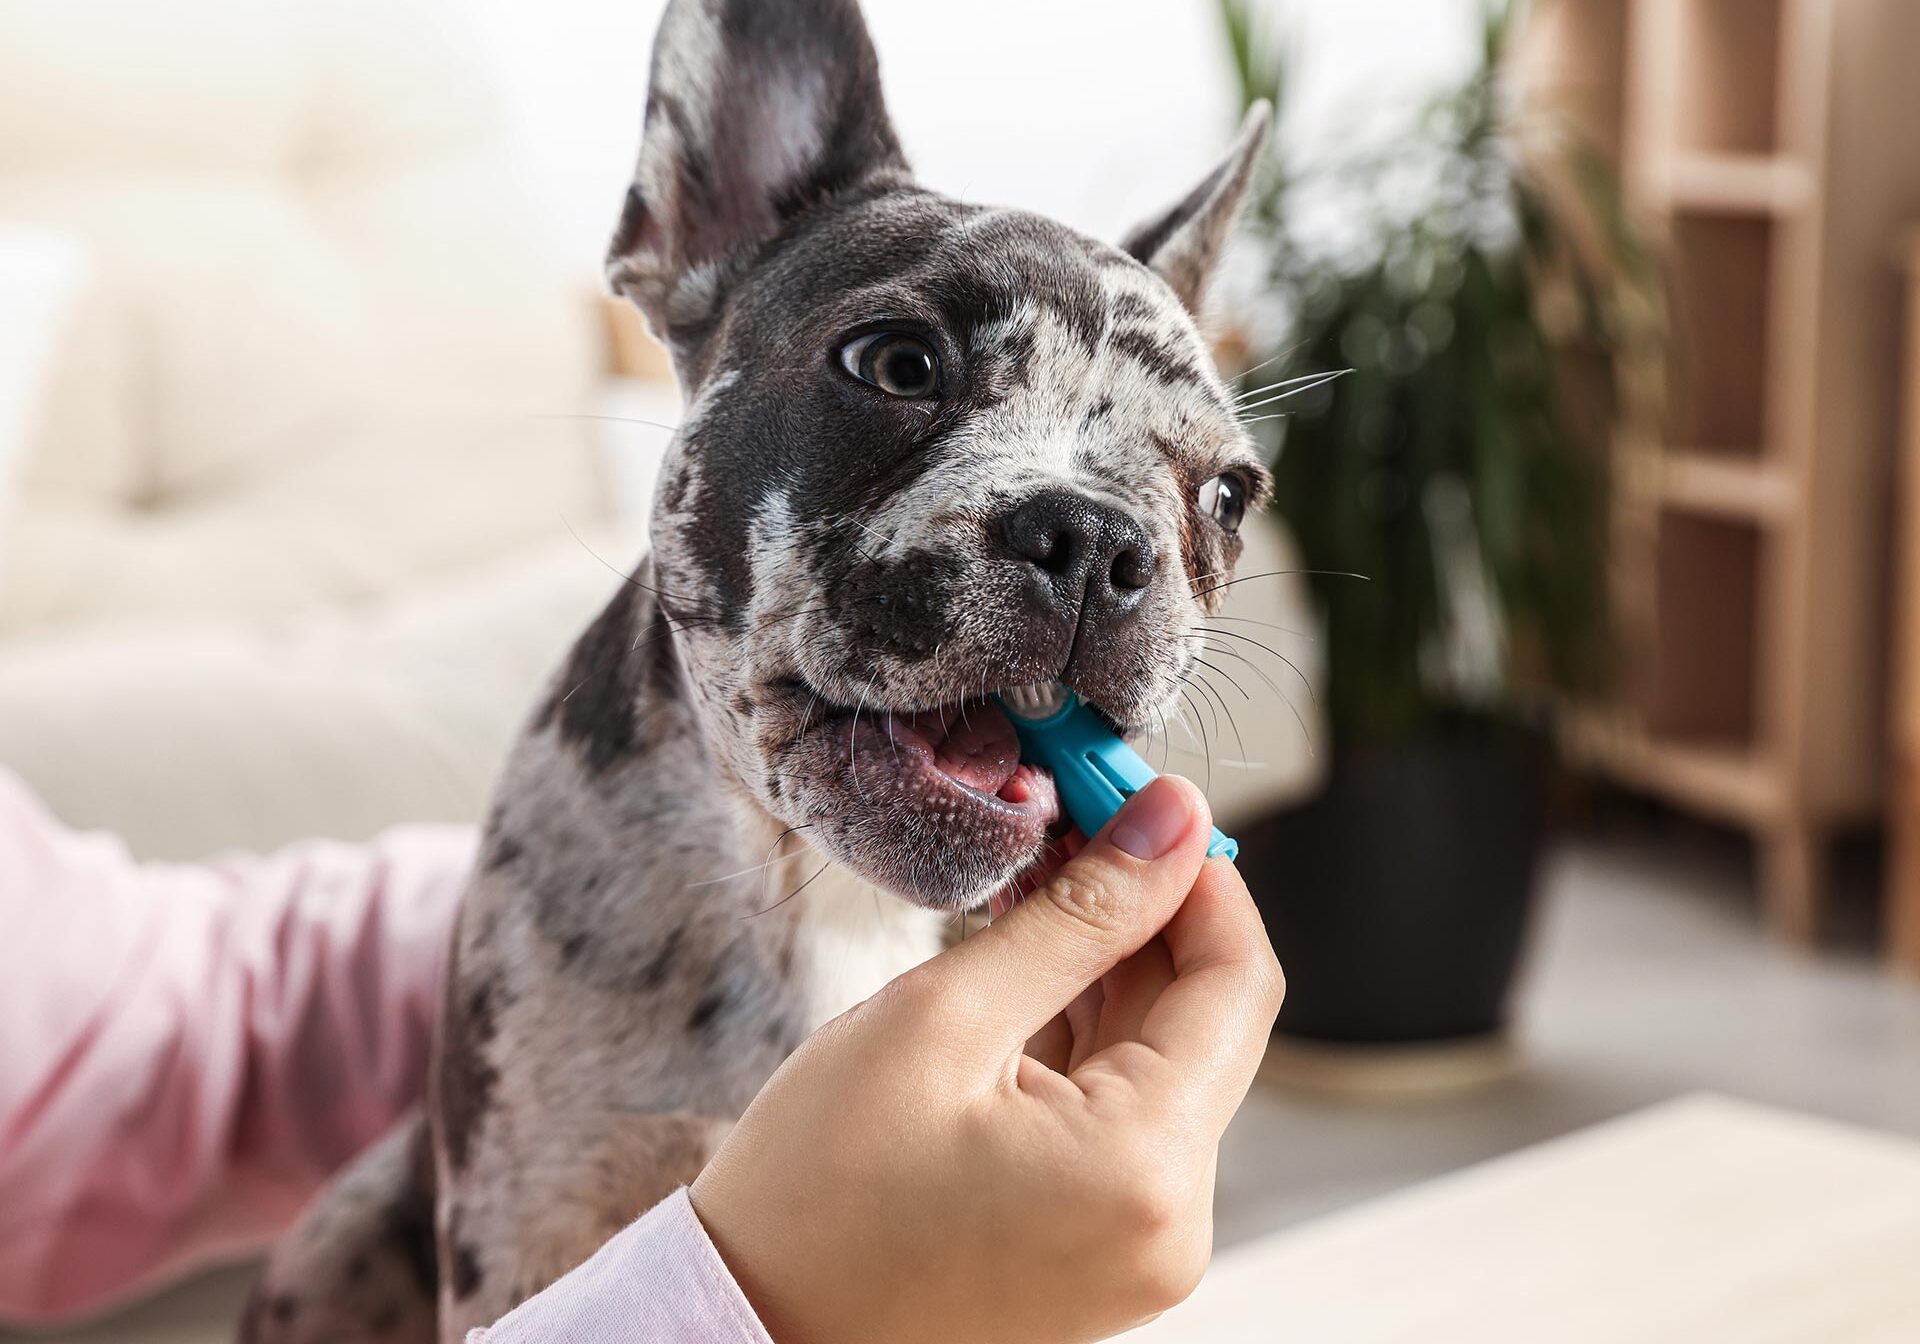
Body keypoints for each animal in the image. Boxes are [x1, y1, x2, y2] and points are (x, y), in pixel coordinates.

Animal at [247, 5, 1274, 1336]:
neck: (819, 895)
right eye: (896, 364)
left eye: (1229, 496)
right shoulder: (531, 1222)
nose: (1095, 538)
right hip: (338, 1233)